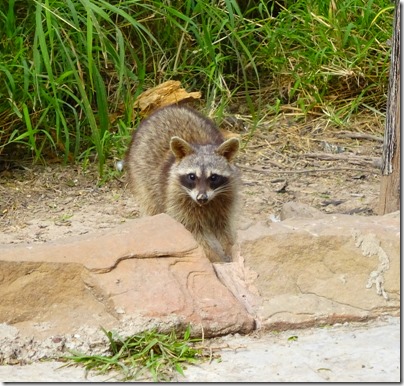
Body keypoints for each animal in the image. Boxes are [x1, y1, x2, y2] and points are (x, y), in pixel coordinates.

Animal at [125, 104, 240, 264]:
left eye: (213, 177)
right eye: (192, 177)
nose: (202, 198)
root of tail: (168, 107)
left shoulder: (225, 199)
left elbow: (224, 227)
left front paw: (231, 247)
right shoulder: (175, 199)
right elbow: (193, 234)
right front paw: (214, 257)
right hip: (140, 177)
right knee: (152, 207)